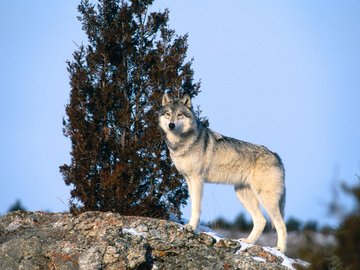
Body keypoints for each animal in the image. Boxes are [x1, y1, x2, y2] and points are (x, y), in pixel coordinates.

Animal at [158, 93, 286, 253]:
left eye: (179, 114)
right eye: (168, 114)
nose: (171, 125)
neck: (182, 143)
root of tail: (277, 156)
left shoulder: (197, 179)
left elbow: (196, 207)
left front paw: (192, 228)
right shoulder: (188, 180)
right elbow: (193, 204)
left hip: (266, 199)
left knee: (281, 224)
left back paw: (280, 250)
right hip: (242, 195)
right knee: (261, 221)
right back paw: (247, 242)